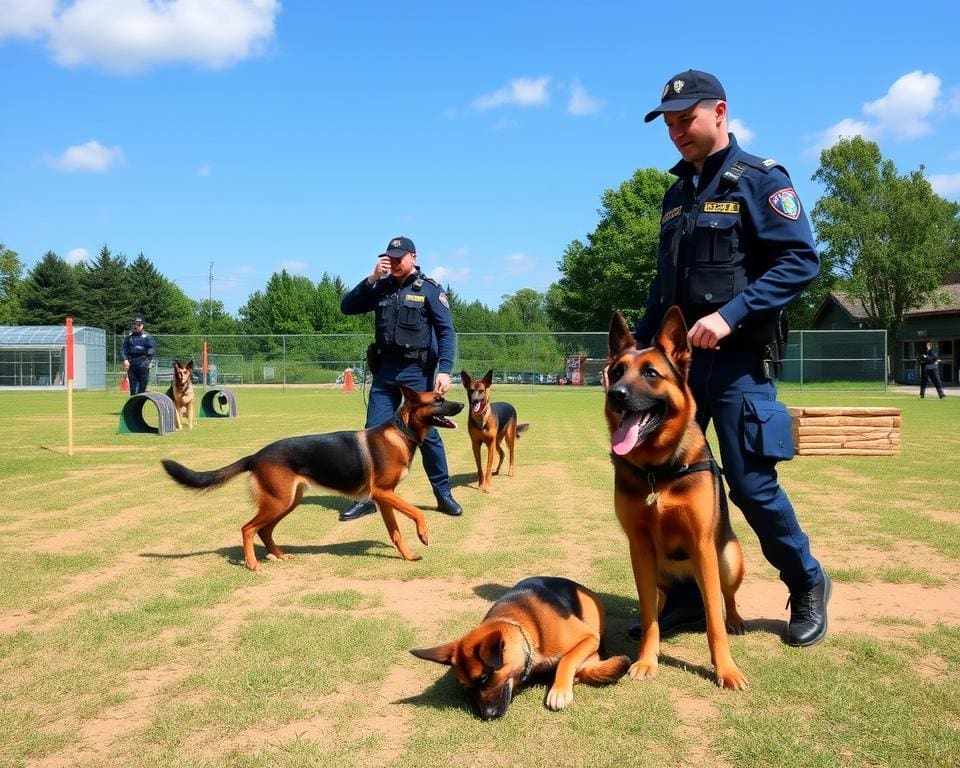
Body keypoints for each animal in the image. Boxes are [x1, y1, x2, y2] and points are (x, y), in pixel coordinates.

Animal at [159, 384, 464, 568]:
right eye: (438, 400)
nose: (462, 405)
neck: (401, 432)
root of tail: (256, 455)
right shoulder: (384, 493)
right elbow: (416, 512)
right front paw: (423, 534)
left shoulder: (384, 498)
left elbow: (396, 533)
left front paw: (408, 555)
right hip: (278, 502)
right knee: (248, 528)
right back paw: (254, 565)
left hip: (286, 502)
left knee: (264, 530)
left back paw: (278, 555)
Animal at [410, 576, 632, 720]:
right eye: (466, 687)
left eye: (484, 677)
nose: (486, 716)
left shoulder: (590, 639)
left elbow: (568, 659)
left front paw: (559, 690)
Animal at [608, 306, 752, 688]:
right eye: (616, 371)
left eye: (650, 373)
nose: (616, 393)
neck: (659, 472)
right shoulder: (639, 546)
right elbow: (648, 616)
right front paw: (647, 659)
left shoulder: (702, 544)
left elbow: (714, 620)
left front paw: (725, 669)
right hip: (653, 569)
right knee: (658, 602)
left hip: (727, 558)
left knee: (725, 597)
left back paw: (735, 619)